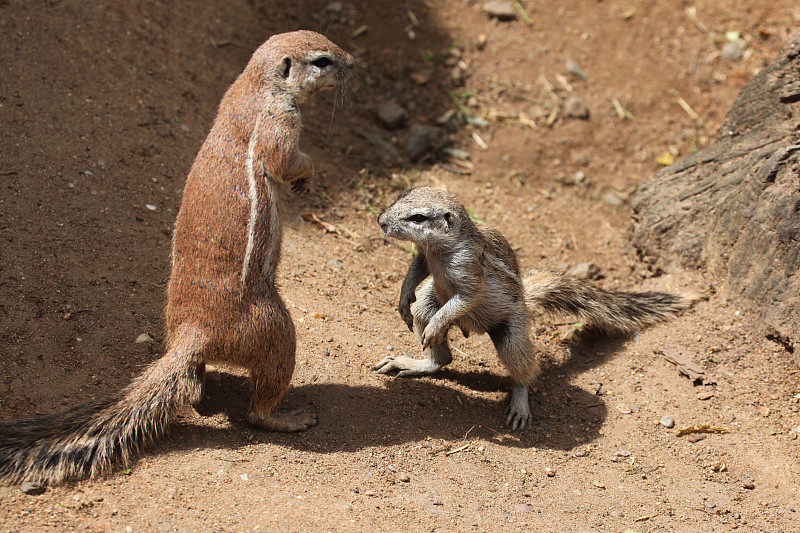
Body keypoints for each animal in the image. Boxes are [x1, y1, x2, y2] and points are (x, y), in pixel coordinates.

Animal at [0, 30, 352, 486]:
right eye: (323, 60)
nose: (352, 62)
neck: (253, 87)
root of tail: (193, 331)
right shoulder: (279, 122)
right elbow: (287, 159)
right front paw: (306, 175)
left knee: (195, 384)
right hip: (275, 329)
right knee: (257, 407)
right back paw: (289, 418)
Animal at [372, 187, 684, 428]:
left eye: (418, 217)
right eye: (401, 195)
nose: (381, 221)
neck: (440, 250)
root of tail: (525, 297)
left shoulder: (469, 269)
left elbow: (467, 296)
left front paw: (438, 322)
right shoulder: (424, 256)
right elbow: (415, 270)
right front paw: (403, 298)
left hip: (513, 330)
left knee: (525, 372)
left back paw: (519, 404)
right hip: (429, 302)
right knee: (439, 348)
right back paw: (416, 361)